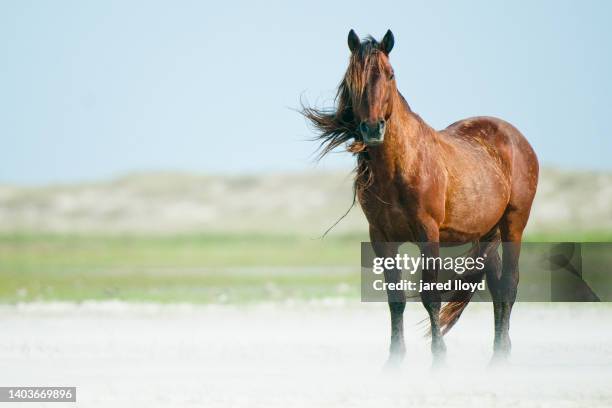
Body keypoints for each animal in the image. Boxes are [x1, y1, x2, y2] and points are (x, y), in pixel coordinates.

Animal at [304, 29, 536, 366]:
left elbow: (430, 296)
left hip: (512, 225)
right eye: (352, 78)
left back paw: (501, 357)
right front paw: (394, 359)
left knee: (509, 284)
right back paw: (497, 353)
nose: (372, 129)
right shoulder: (381, 237)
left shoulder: (428, 233)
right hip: (485, 232)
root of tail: (515, 136)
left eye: (390, 74)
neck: (399, 167)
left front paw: (439, 357)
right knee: (495, 286)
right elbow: (395, 299)